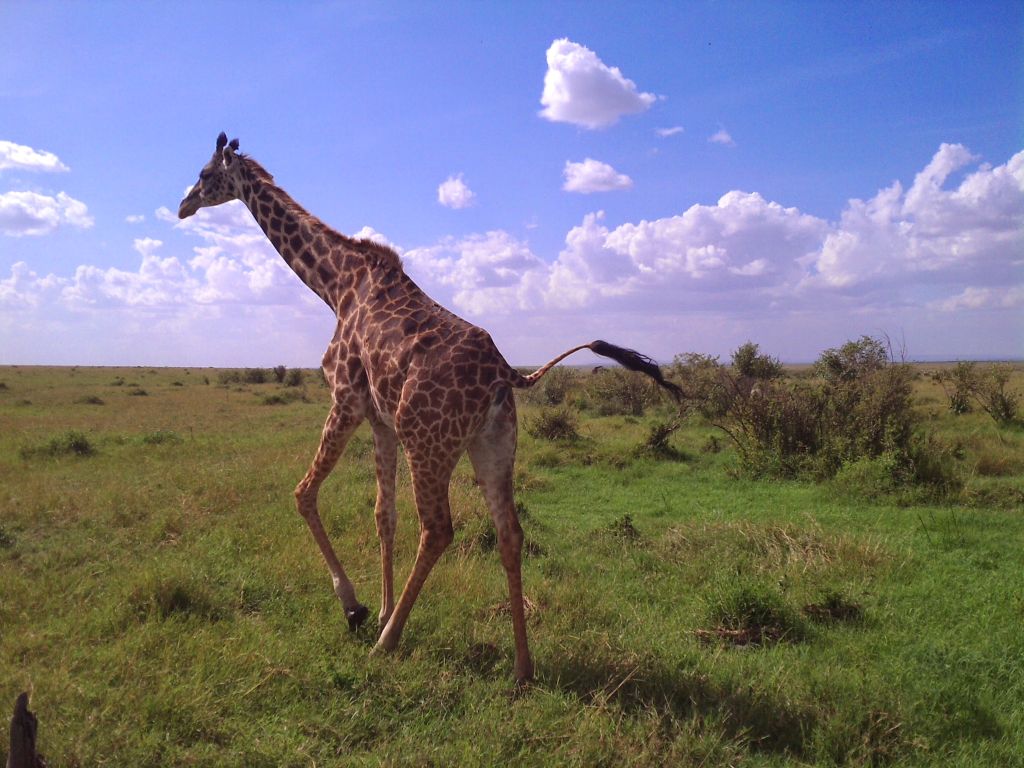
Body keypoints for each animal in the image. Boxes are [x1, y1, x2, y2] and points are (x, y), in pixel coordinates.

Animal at [178, 133, 681, 684]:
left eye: (205, 174)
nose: (183, 206)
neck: (336, 284)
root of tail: (507, 375)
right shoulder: (381, 420)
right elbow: (383, 514)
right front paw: (379, 609)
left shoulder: (346, 396)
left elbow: (304, 493)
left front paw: (356, 610)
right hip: (493, 445)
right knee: (509, 533)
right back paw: (522, 667)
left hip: (430, 442)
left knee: (438, 529)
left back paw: (389, 644)